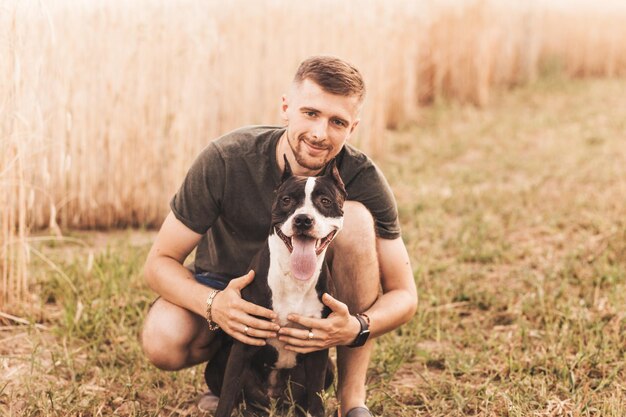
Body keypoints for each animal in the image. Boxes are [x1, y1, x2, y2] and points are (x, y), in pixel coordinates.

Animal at [204, 157, 346, 416]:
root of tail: (273, 402)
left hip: (327, 370)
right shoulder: (243, 342)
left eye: (325, 201)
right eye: (287, 200)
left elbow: (317, 400)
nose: (303, 219)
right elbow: (227, 397)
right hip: (218, 365)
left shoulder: (319, 349)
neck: (294, 278)